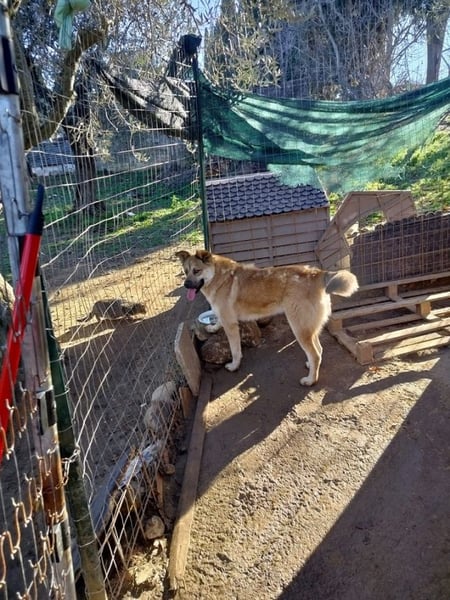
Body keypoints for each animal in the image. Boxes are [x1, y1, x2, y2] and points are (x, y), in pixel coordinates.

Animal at [176, 249, 358, 386]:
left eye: (196, 271)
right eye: (185, 272)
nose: (186, 284)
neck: (218, 276)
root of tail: (317, 273)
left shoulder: (231, 324)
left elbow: (235, 350)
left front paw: (234, 366)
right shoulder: (224, 316)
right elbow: (218, 320)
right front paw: (212, 327)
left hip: (299, 328)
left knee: (315, 354)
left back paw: (310, 380)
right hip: (309, 329)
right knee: (318, 351)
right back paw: (310, 366)